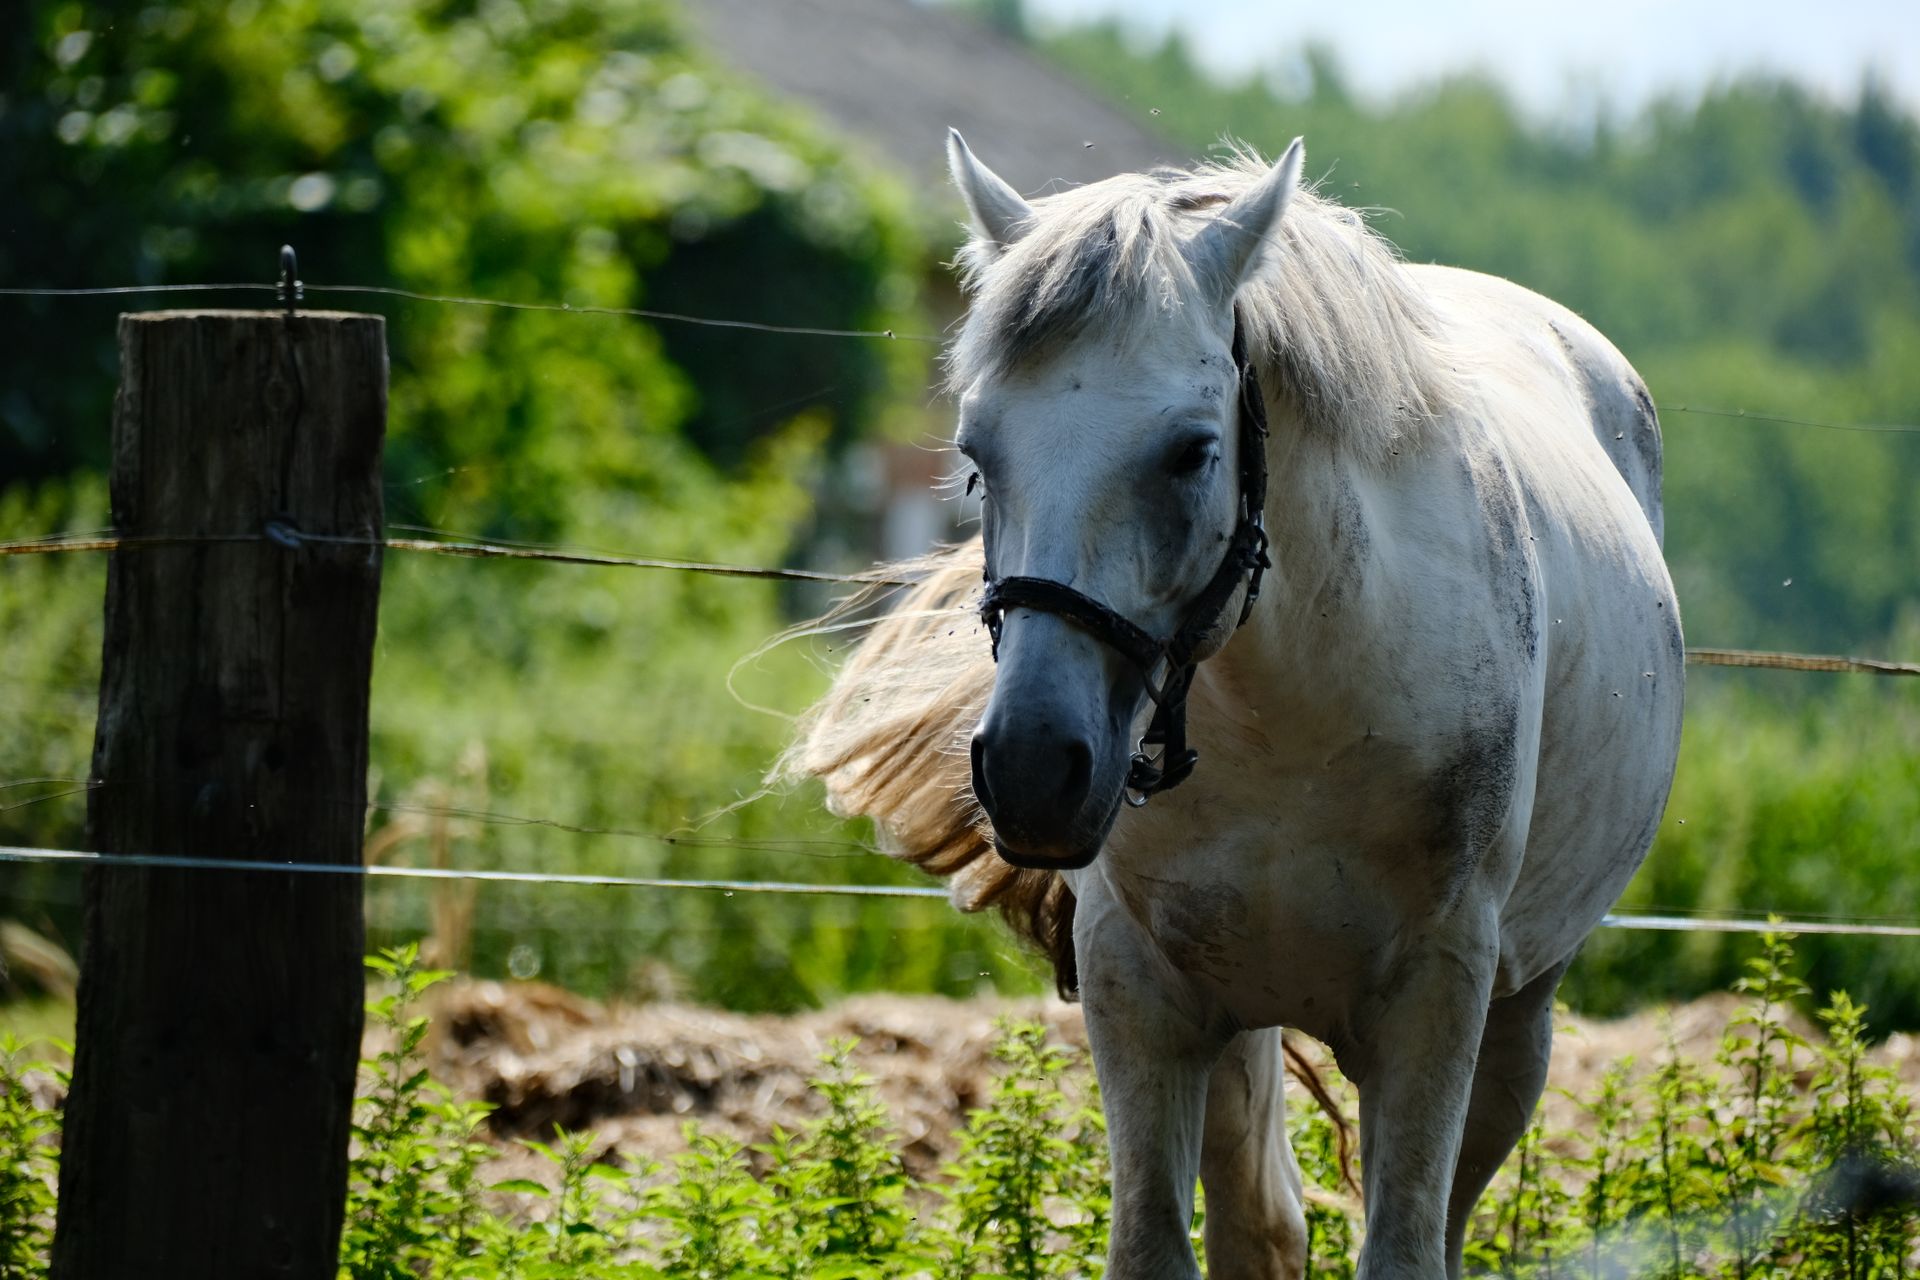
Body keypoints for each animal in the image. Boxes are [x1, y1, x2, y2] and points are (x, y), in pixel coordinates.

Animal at [784, 131, 1684, 1279]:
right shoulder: (1144, 992)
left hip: (1519, 1019)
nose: (1032, 767)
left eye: (1192, 451)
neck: (1294, 718)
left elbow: (1403, 1246)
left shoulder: (1438, 998)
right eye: (978, 457)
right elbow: (1159, 1244)